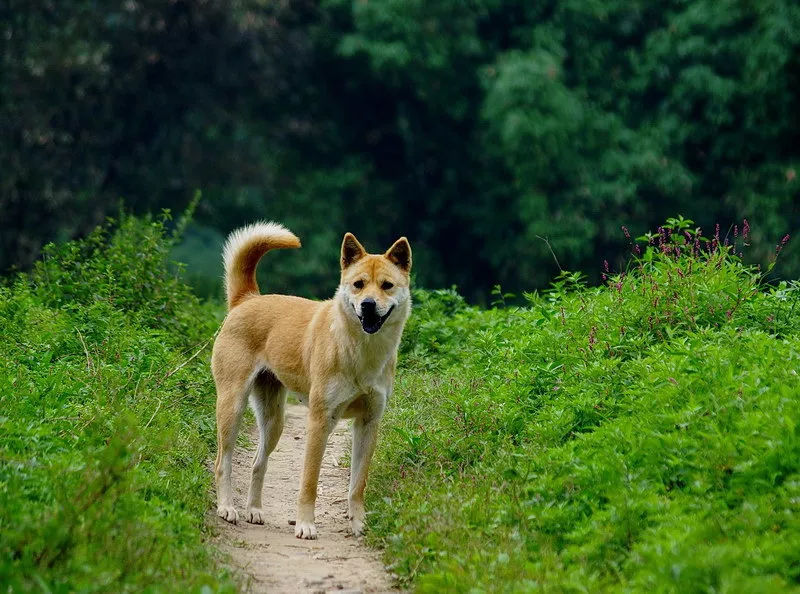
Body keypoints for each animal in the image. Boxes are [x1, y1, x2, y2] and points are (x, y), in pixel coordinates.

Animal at [212, 221, 412, 536]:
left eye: (387, 285)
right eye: (358, 284)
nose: (368, 305)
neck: (361, 352)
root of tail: (248, 299)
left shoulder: (368, 423)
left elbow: (358, 484)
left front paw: (359, 523)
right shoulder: (320, 421)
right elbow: (309, 482)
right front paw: (305, 524)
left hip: (273, 421)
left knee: (258, 464)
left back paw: (254, 510)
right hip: (232, 407)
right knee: (223, 462)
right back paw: (227, 508)